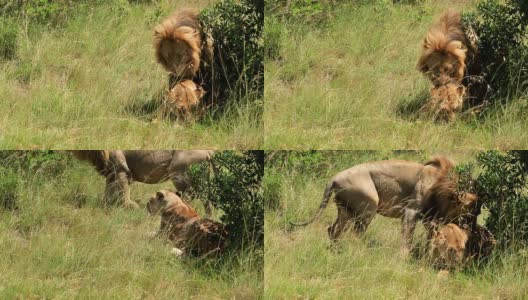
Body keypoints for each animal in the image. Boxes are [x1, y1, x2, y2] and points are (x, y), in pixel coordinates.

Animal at [70, 150, 214, 211]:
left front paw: (129, 207)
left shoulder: (120, 168)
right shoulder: (111, 171)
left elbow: (123, 191)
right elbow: (108, 191)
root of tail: (209, 151)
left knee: (190, 195)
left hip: (178, 172)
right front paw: (104, 205)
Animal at [290, 157, 480, 253]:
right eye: (472, 211)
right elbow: (408, 236)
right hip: (369, 204)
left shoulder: (430, 218)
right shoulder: (410, 211)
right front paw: (405, 256)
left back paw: (335, 250)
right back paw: (360, 251)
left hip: (346, 210)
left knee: (333, 229)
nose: (472, 227)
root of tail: (334, 177)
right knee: (355, 234)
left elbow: (431, 236)